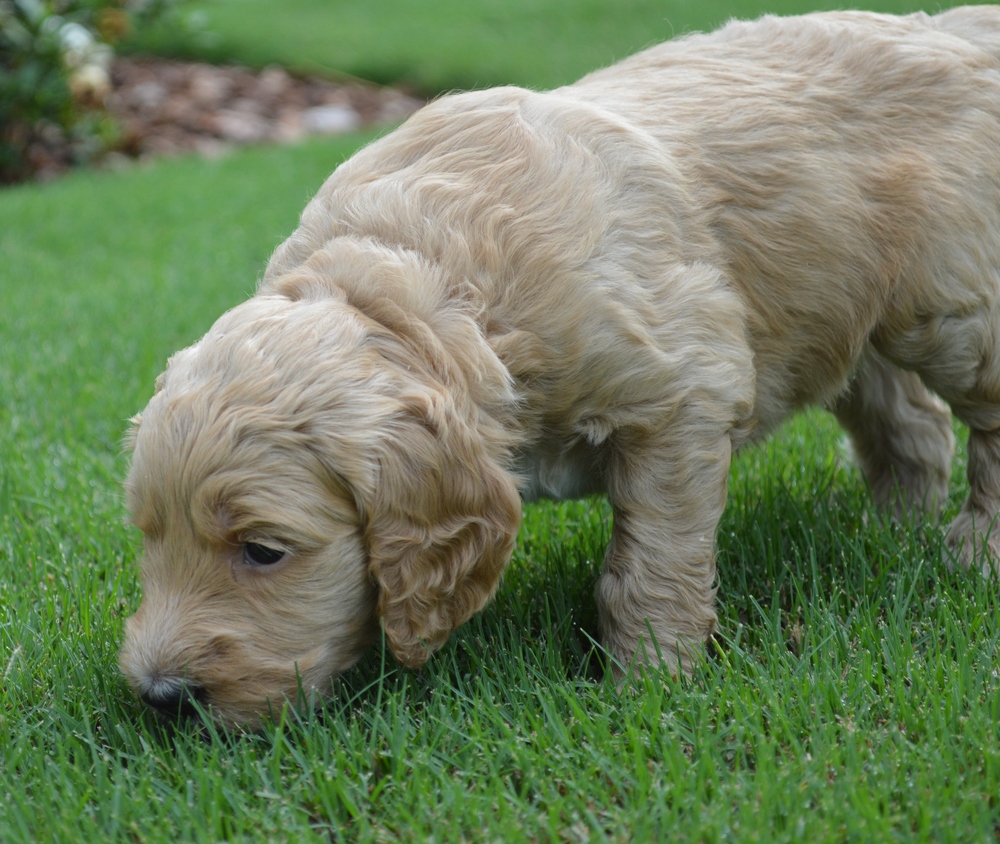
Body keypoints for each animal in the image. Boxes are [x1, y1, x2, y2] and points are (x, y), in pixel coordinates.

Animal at [123, 6, 1000, 724]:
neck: (427, 285)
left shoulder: (681, 393)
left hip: (949, 306)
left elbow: (650, 563)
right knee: (910, 421)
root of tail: (956, 29)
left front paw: (650, 685)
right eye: (148, 534)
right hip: (838, 308)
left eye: (263, 551)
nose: (162, 699)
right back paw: (889, 532)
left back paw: (974, 552)